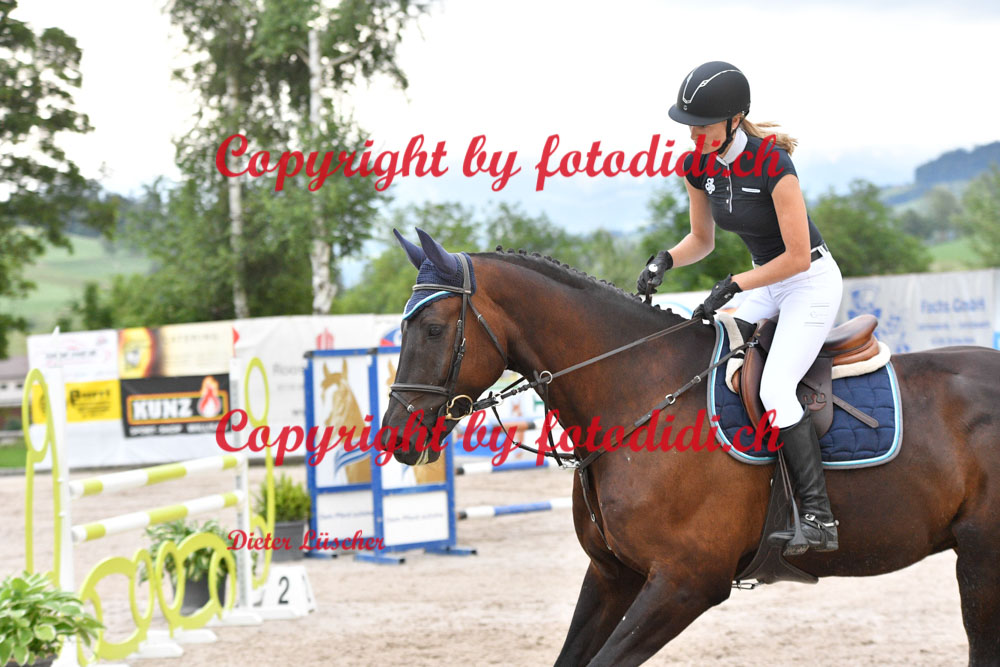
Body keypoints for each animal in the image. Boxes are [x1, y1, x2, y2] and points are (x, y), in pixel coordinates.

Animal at [380, 229, 1000, 667]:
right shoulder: (613, 574)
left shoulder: (686, 583)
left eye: (433, 329)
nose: (395, 438)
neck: (639, 390)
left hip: (979, 557)